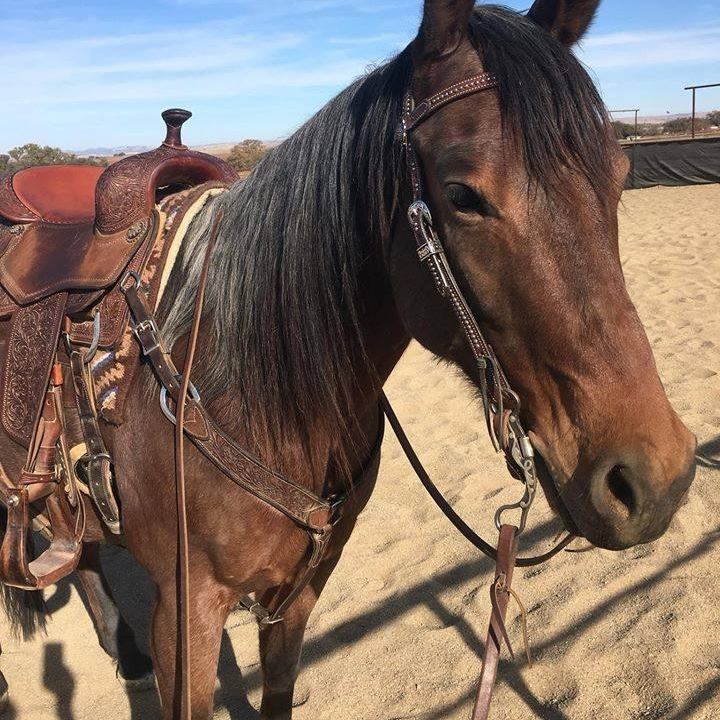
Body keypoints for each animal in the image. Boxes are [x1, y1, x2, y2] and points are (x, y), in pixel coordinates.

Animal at [0, 0, 697, 717]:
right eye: (463, 194)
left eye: (619, 178)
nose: (655, 479)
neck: (244, 383)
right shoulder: (185, 611)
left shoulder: (299, 594)